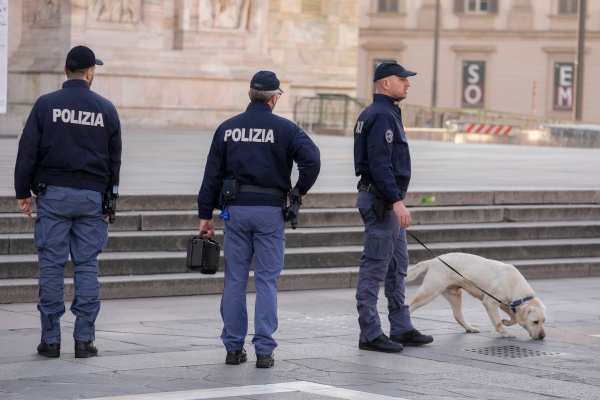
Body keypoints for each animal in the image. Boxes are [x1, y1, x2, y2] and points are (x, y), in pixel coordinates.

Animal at [406, 252, 548, 340]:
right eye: (535, 321)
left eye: (543, 321)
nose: (543, 336)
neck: (516, 286)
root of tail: (433, 261)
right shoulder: (490, 302)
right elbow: (497, 322)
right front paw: (506, 333)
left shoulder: (505, 304)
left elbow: (515, 318)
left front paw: (507, 322)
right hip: (430, 292)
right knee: (409, 306)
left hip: (454, 294)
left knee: (458, 315)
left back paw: (470, 328)